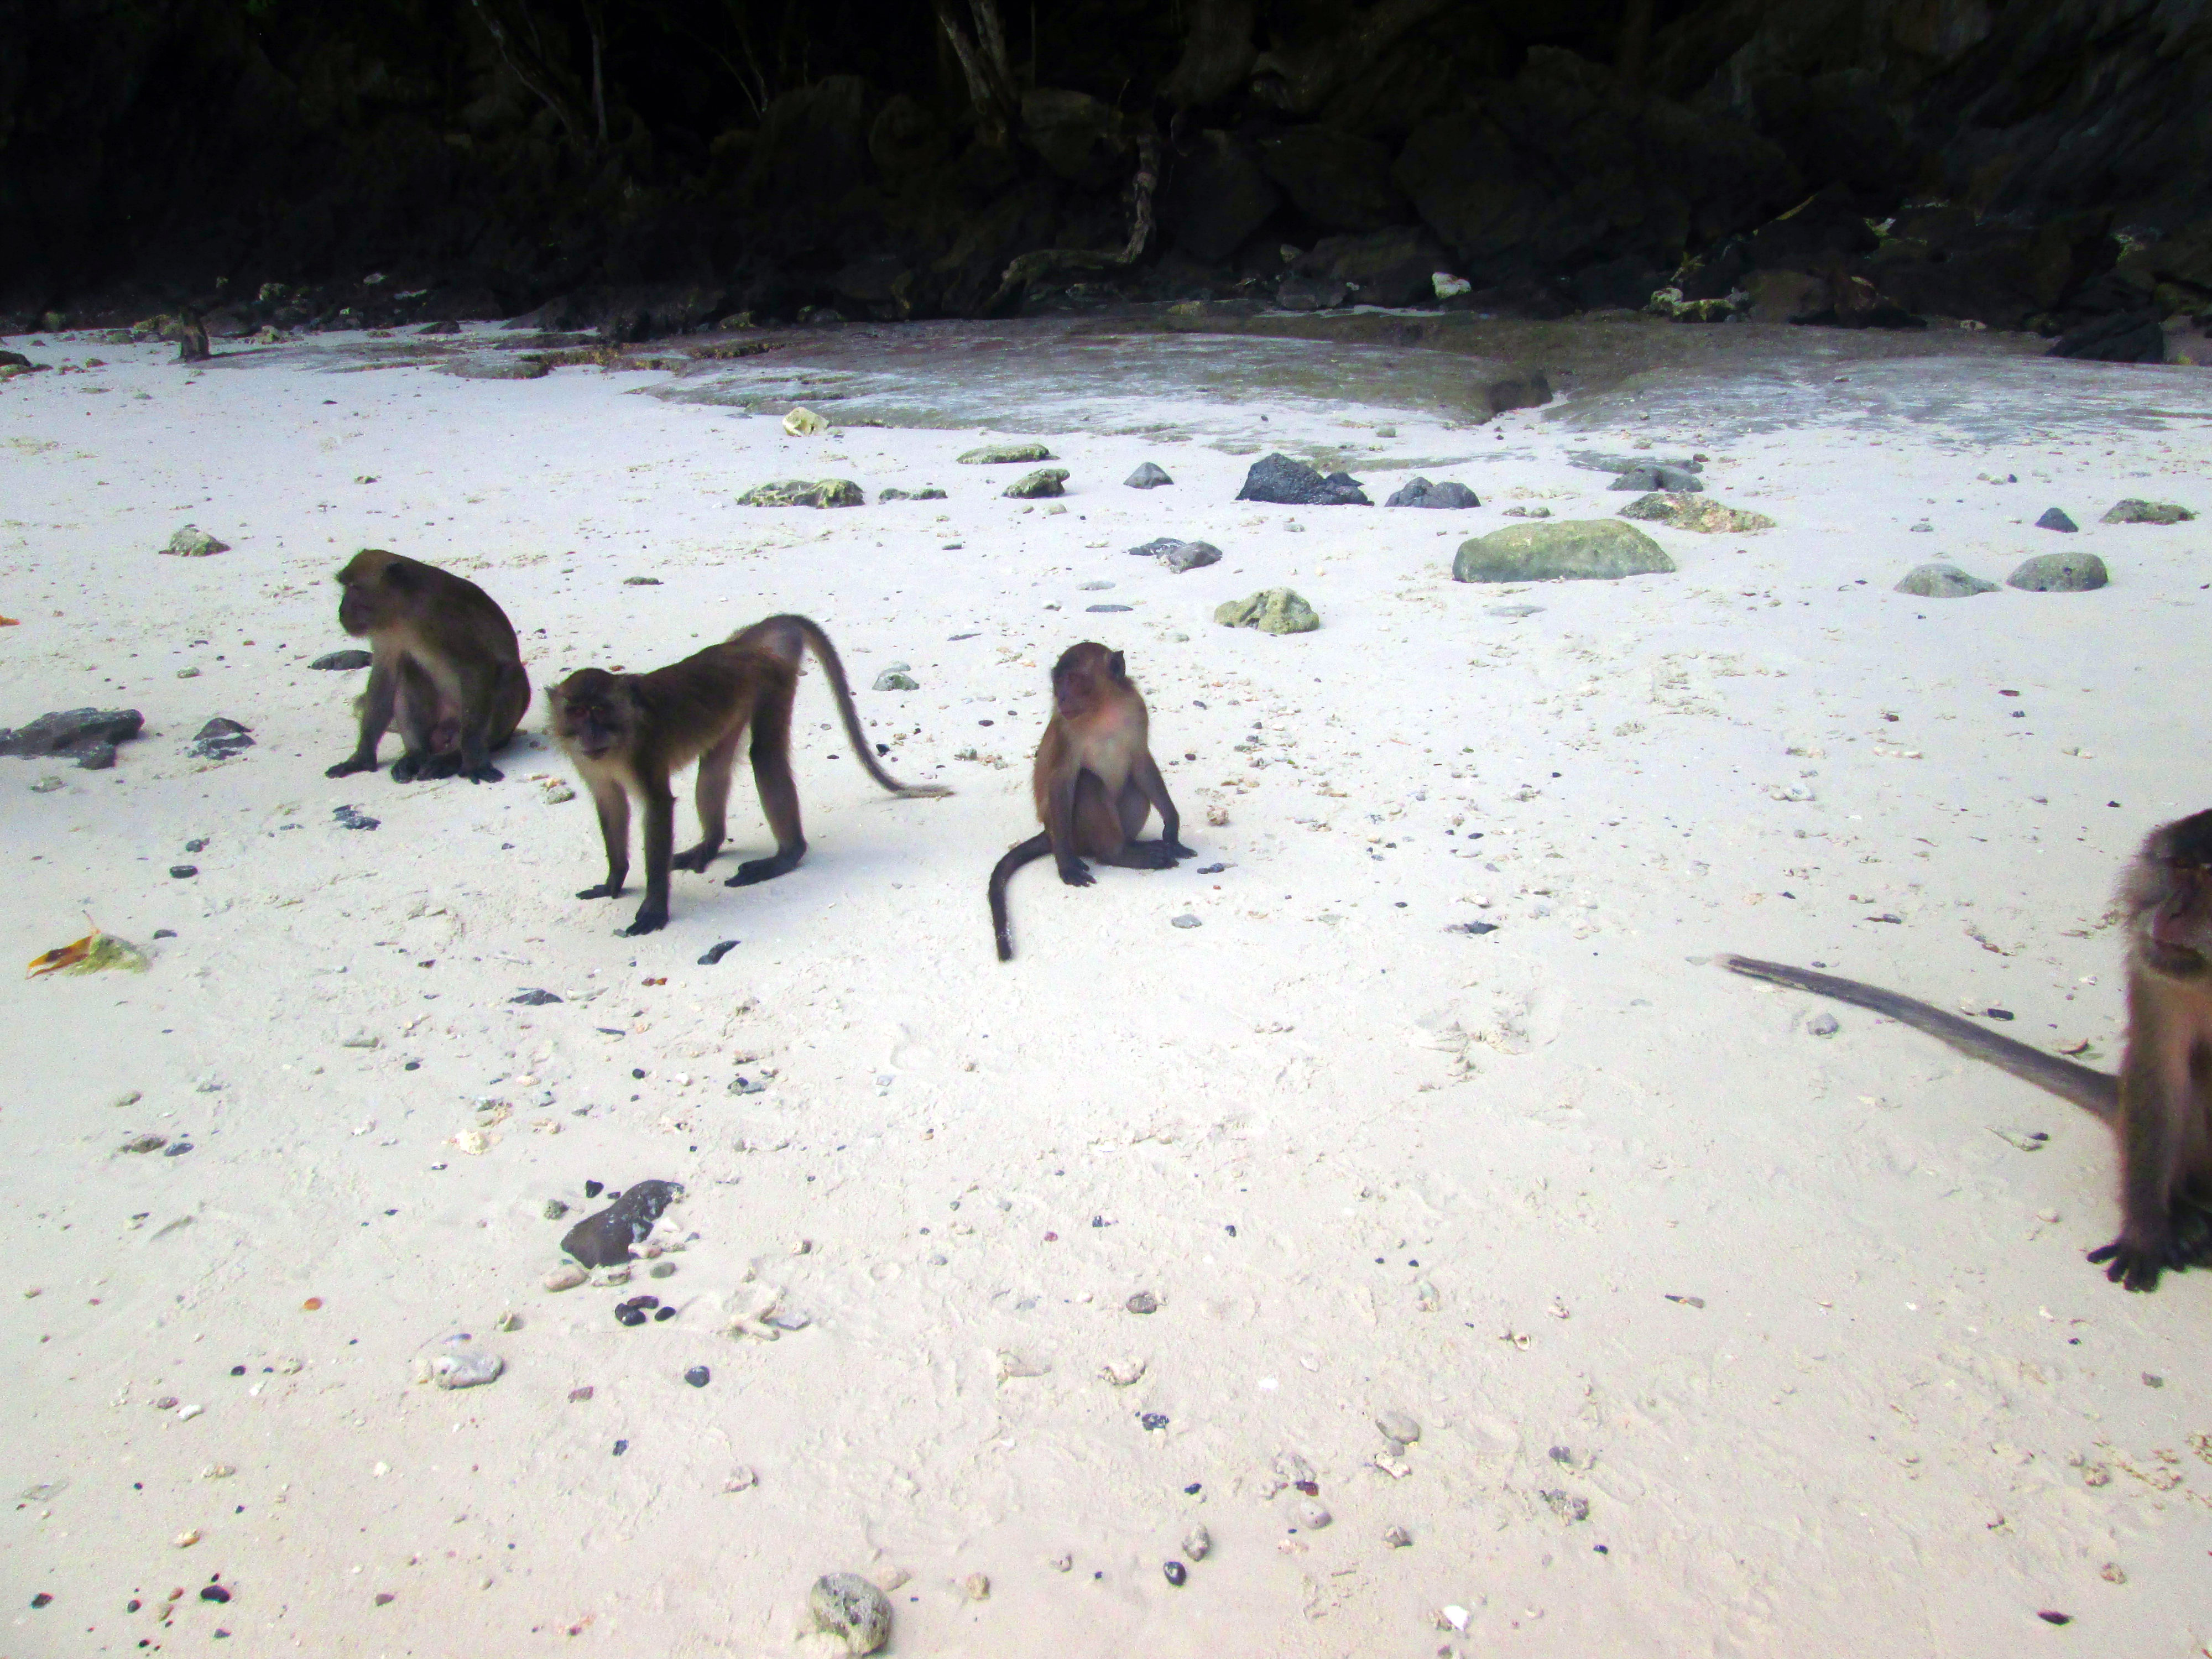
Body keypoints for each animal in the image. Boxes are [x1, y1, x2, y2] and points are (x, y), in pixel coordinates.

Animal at [323, 549, 530, 785]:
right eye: (345, 586)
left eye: (353, 587)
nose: (342, 611)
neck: (403, 610)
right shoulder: (385, 634)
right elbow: (385, 677)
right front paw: (362, 758)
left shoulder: (441, 620)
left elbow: (477, 667)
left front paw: (472, 762)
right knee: (409, 668)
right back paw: (416, 755)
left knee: (509, 674)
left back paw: (451, 757)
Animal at [549, 616, 947, 937]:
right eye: (578, 712)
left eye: (600, 710)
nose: (591, 735)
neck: (619, 742)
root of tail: (741, 644)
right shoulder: (589, 764)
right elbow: (611, 803)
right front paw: (614, 880)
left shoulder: (643, 753)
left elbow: (658, 806)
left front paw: (654, 906)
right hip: (734, 701)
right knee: (714, 764)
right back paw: (710, 843)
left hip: (772, 676)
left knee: (765, 754)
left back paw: (787, 854)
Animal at [989, 642, 1194, 961]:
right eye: (1058, 680)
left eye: (1073, 680)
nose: (1061, 697)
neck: (1103, 709)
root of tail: (1047, 832)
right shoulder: (1066, 728)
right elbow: (1063, 781)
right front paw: (1066, 864)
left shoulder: (1137, 711)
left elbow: (1141, 764)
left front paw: (1172, 829)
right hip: (1075, 833)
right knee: (1088, 783)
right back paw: (1118, 854)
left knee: (1133, 785)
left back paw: (1133, 845)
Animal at [1723, 807, 2212, 1291]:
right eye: (2181, 869)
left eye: (2207, 880)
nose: (2173, 911)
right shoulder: (2155, 969)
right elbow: (2161, 1072)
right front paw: (2146, 1233)